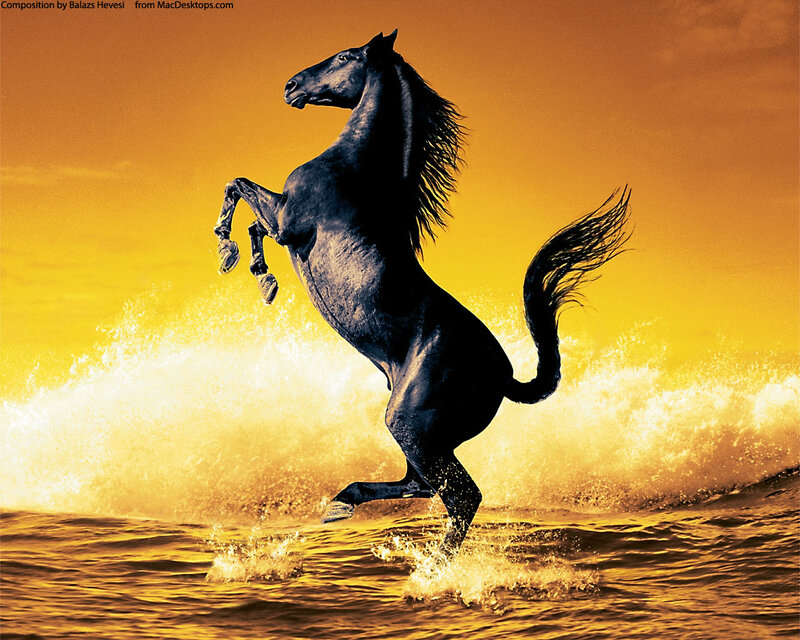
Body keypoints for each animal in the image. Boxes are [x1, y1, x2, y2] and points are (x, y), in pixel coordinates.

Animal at [213, 30, 631, 557]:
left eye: (346, 56)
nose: (291, 86)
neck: (353, 167)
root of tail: (506, 377)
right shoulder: (283, 222)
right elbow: (248, 213)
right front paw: (260, 275)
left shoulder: (288, 222)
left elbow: (238, 188)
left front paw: (235, 257)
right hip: (425, 436)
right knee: (424, 485)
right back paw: (343, 504)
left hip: (410, 422)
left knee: (461, 495)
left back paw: (432, 563)